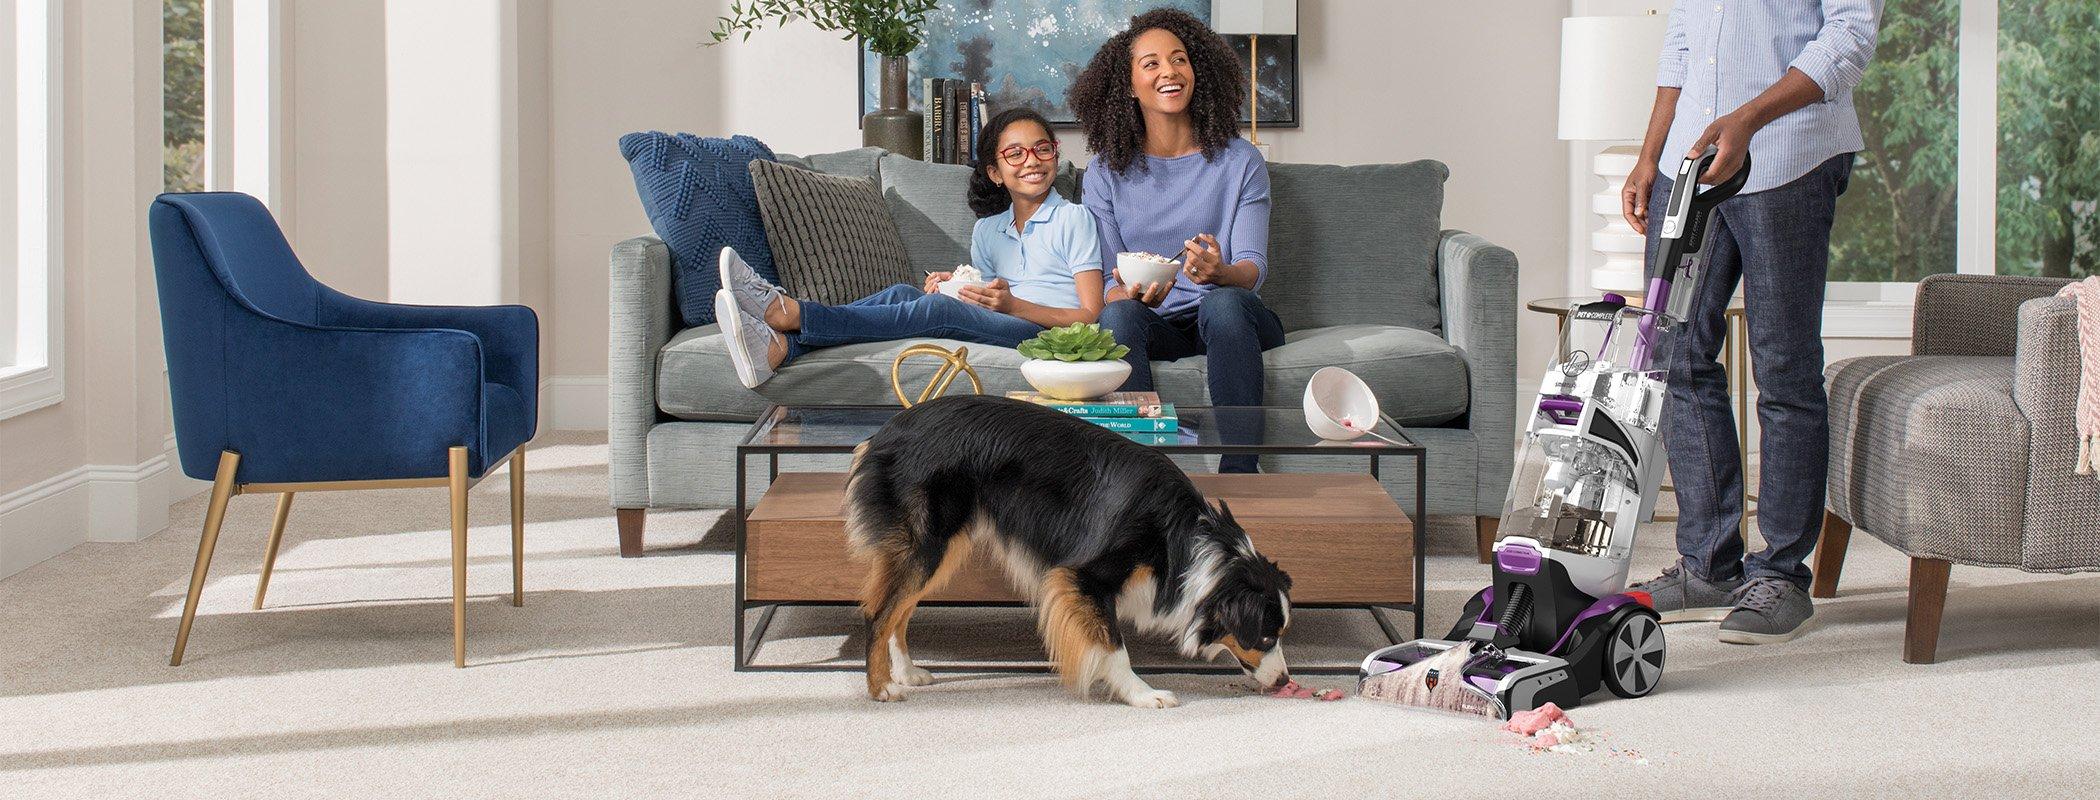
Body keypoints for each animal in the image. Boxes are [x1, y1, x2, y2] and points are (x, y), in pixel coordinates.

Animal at [844, 392, 1285, 705]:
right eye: (1265, 638)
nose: (1284, 680)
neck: (1186, 543)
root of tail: (882, 433)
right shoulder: (1082, 576)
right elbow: (1113, 645)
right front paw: (1142, 694)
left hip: (939, 550)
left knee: (899, 609)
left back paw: (906, 672)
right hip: (928, 544)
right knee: (878, 611)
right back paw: (881, 688)